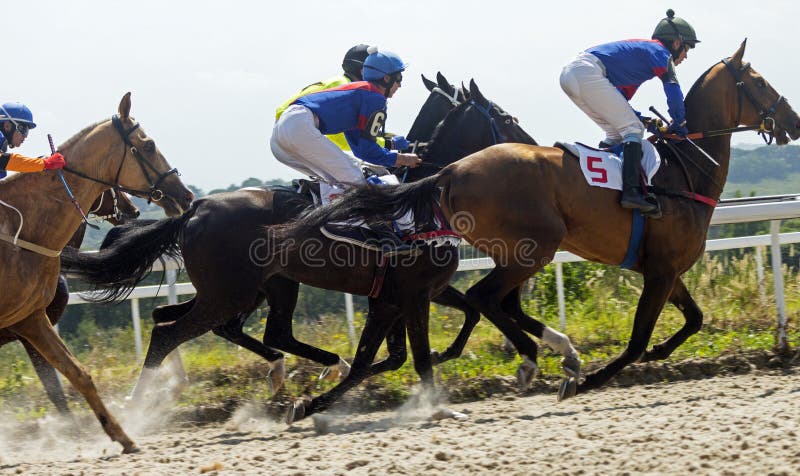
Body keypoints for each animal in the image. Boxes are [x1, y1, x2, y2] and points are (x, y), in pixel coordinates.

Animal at [0, 94, 193, 454]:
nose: (184, 195)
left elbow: (76, 374)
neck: (23, 231)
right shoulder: (23, 323)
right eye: (148, 145)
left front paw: (121, 435)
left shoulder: (30, 318)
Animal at [61, 80, 536, 422]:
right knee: (172, 333)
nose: (532, 145)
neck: (423, 196)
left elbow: (408, 346)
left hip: (249, 289)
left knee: (195, 322)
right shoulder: (412, 294)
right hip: (233, 292)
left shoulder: (400, 296)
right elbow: (411, 357)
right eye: (506, 116)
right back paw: (138, 408)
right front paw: (438, 405)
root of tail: (196, 208)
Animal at [270, 40, 800, 398]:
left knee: (494, 302)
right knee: (487, 298)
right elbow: (635, 340)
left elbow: (694, 319)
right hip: (535, 247)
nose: (792, 123)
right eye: (760, 82)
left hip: (518, 252)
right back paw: (535, 359)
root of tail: (451, 171)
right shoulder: (661, 270)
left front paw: (655, 355)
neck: (685, 169)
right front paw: (590, 377)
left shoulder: (665, 269)